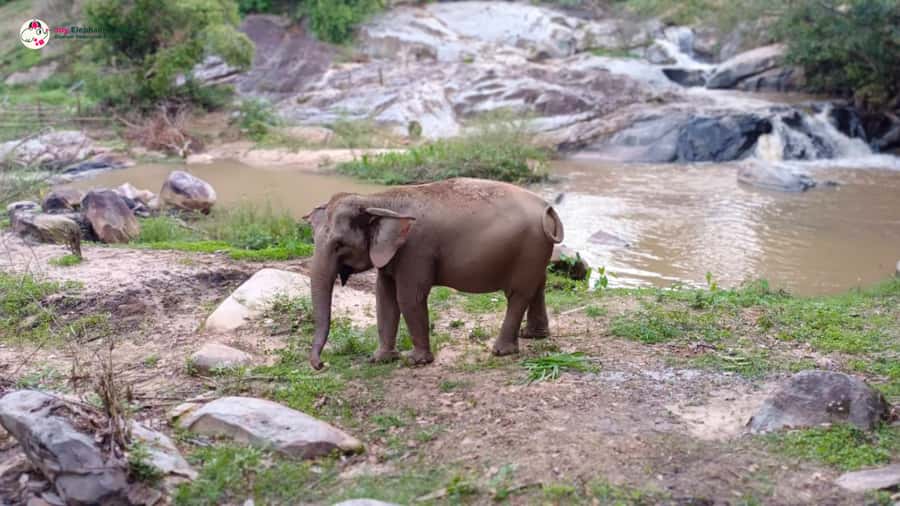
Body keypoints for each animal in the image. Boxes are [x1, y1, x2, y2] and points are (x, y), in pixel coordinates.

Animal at [303, 177, 564, 370]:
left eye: (339, 245)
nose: (321, 365)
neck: (377, 199)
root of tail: (548, 208)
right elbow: (384, 297)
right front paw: (380, 359)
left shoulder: (415, 249)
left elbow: (409, 297)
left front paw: (416, 361)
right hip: (536, 251)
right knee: (538, 284)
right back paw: (533, 335)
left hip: (528, 249)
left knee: (517, 294)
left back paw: (501, 351)